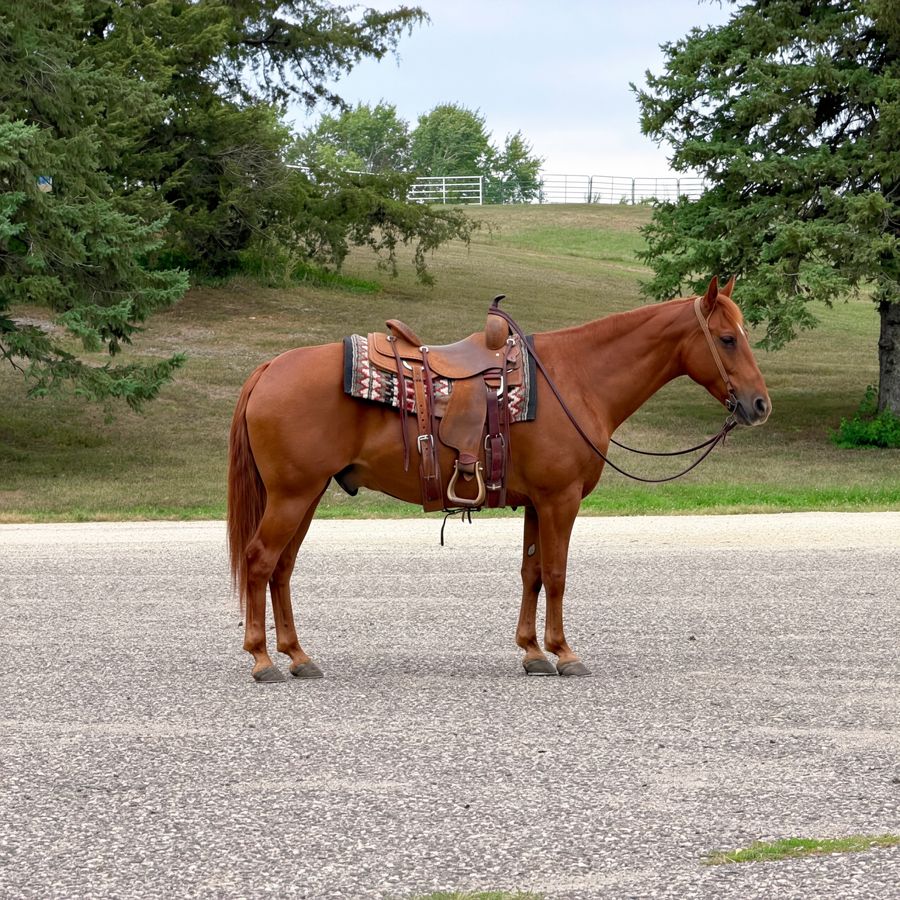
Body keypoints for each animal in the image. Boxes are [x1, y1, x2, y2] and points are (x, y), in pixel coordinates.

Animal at [227, 275, 771, 682]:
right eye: (728, 338)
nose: (760, 404)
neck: (576, 379)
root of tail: (269, 367)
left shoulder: (535, 502)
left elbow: (532, 573)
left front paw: (532, 652)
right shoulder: (560, 499)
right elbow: (557, 573)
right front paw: (564, 653)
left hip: (307, 494)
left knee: (282, 569)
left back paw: (298, 656)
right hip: (292, 495)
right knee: (259, 561)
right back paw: (262, 659)